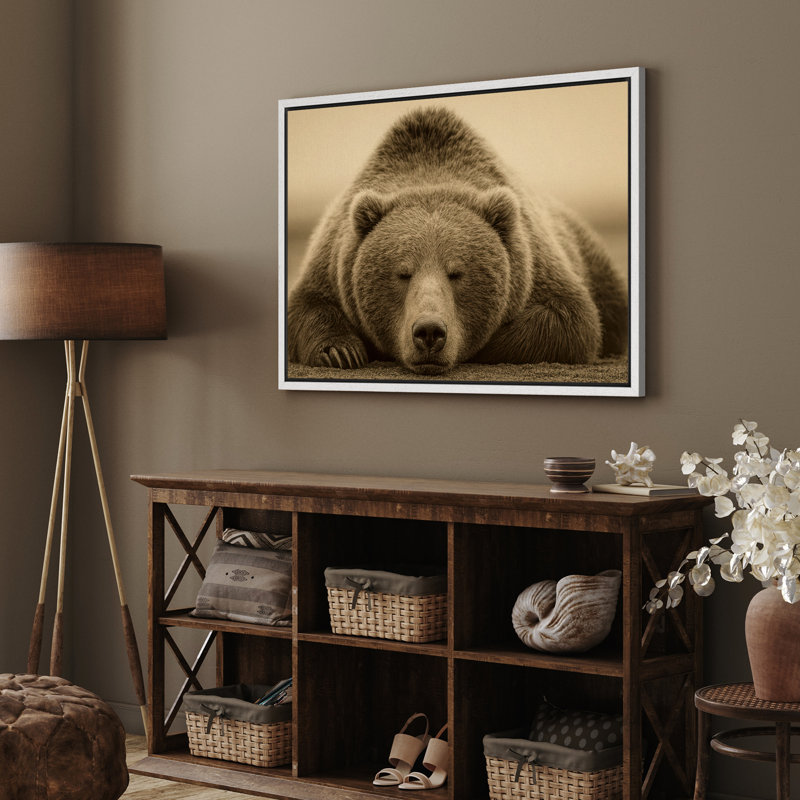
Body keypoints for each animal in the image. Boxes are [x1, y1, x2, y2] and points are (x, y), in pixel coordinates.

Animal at [287, 106, 627, 375]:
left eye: (456, 273)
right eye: (402, 273)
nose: (429, 331)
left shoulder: (534, 263)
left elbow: (572, 321)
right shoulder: (333, 258)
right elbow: (307, 306)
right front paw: (342, 352)